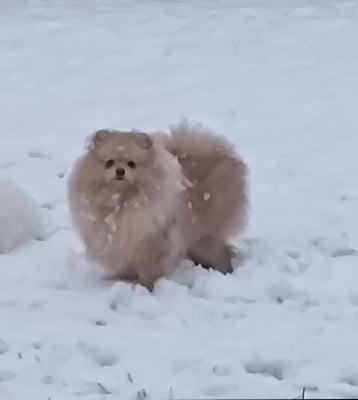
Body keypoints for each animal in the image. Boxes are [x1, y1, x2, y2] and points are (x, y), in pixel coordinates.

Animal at [67, 120, 248, 290]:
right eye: (109, 162)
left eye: (131, 163)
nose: (120, 171)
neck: (121, 200)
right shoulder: (122, 244)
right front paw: (122, 280)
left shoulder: (151, 244)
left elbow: (148, 271)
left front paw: (145, 287)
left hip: (205, 237)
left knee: (222, 253)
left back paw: (224, 271)